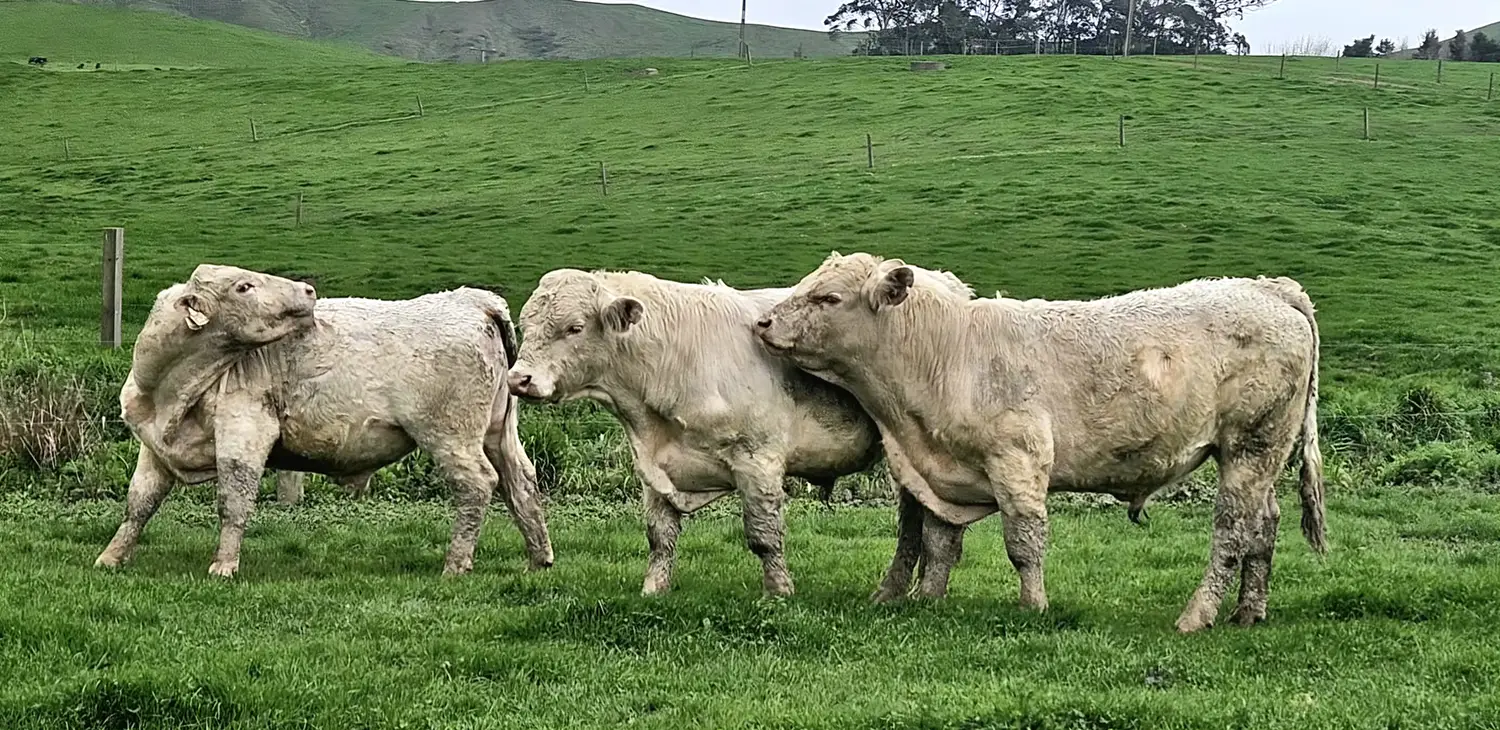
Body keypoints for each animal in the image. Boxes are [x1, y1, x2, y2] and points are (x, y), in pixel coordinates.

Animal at [94, 265, 553, 578]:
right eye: (243, 286)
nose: (308, 289)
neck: (168, 389)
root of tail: (470, 299)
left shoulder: (244, 432)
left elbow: (232, 501)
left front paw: (224, 566)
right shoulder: (154, 445)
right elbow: (139, 503)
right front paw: (111, 556)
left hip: (450, 435)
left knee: (478, 484)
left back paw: (456, 565)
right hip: (498, 431)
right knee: (521, 482)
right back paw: (539, 558)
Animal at [506, 269, 883, 597]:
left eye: (574, 327)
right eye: (525, 325)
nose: (518, 379)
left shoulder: (757, 461)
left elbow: (763, 535)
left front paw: (778, 592)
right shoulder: (653, 470)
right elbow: (660, 537)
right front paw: (653, 589)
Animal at [755, 252, 1326, 632]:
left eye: (828, 298)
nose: (762, 321)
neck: (947, 353)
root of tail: (1266, 287)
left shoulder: (1018, 459)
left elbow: (1024, 542)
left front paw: (1033, 607)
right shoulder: (942, 467)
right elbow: (938, 544)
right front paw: (928, 602)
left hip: (1250, 446)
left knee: (1231, 533)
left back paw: (1197, 615)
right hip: (1262, 456)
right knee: (1263, 526)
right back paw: (1249, 611)